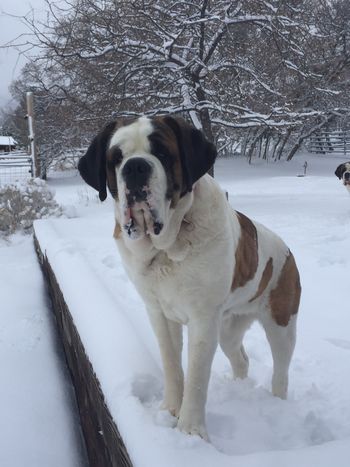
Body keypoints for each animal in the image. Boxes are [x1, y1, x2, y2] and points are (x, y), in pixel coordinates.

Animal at [78, 116, 300, 442]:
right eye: (116, 158)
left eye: (162, 151)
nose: (135, 167)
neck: (167, 246)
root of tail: (287, 249)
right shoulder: (159, 313)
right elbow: (172, 363)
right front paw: (170, 411)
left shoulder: (203, 319)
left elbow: (196, 375)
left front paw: (191, 432)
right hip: (229, 328)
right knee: (240, 358)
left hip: (281, 324)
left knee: (281, 371)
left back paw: (278, 404)